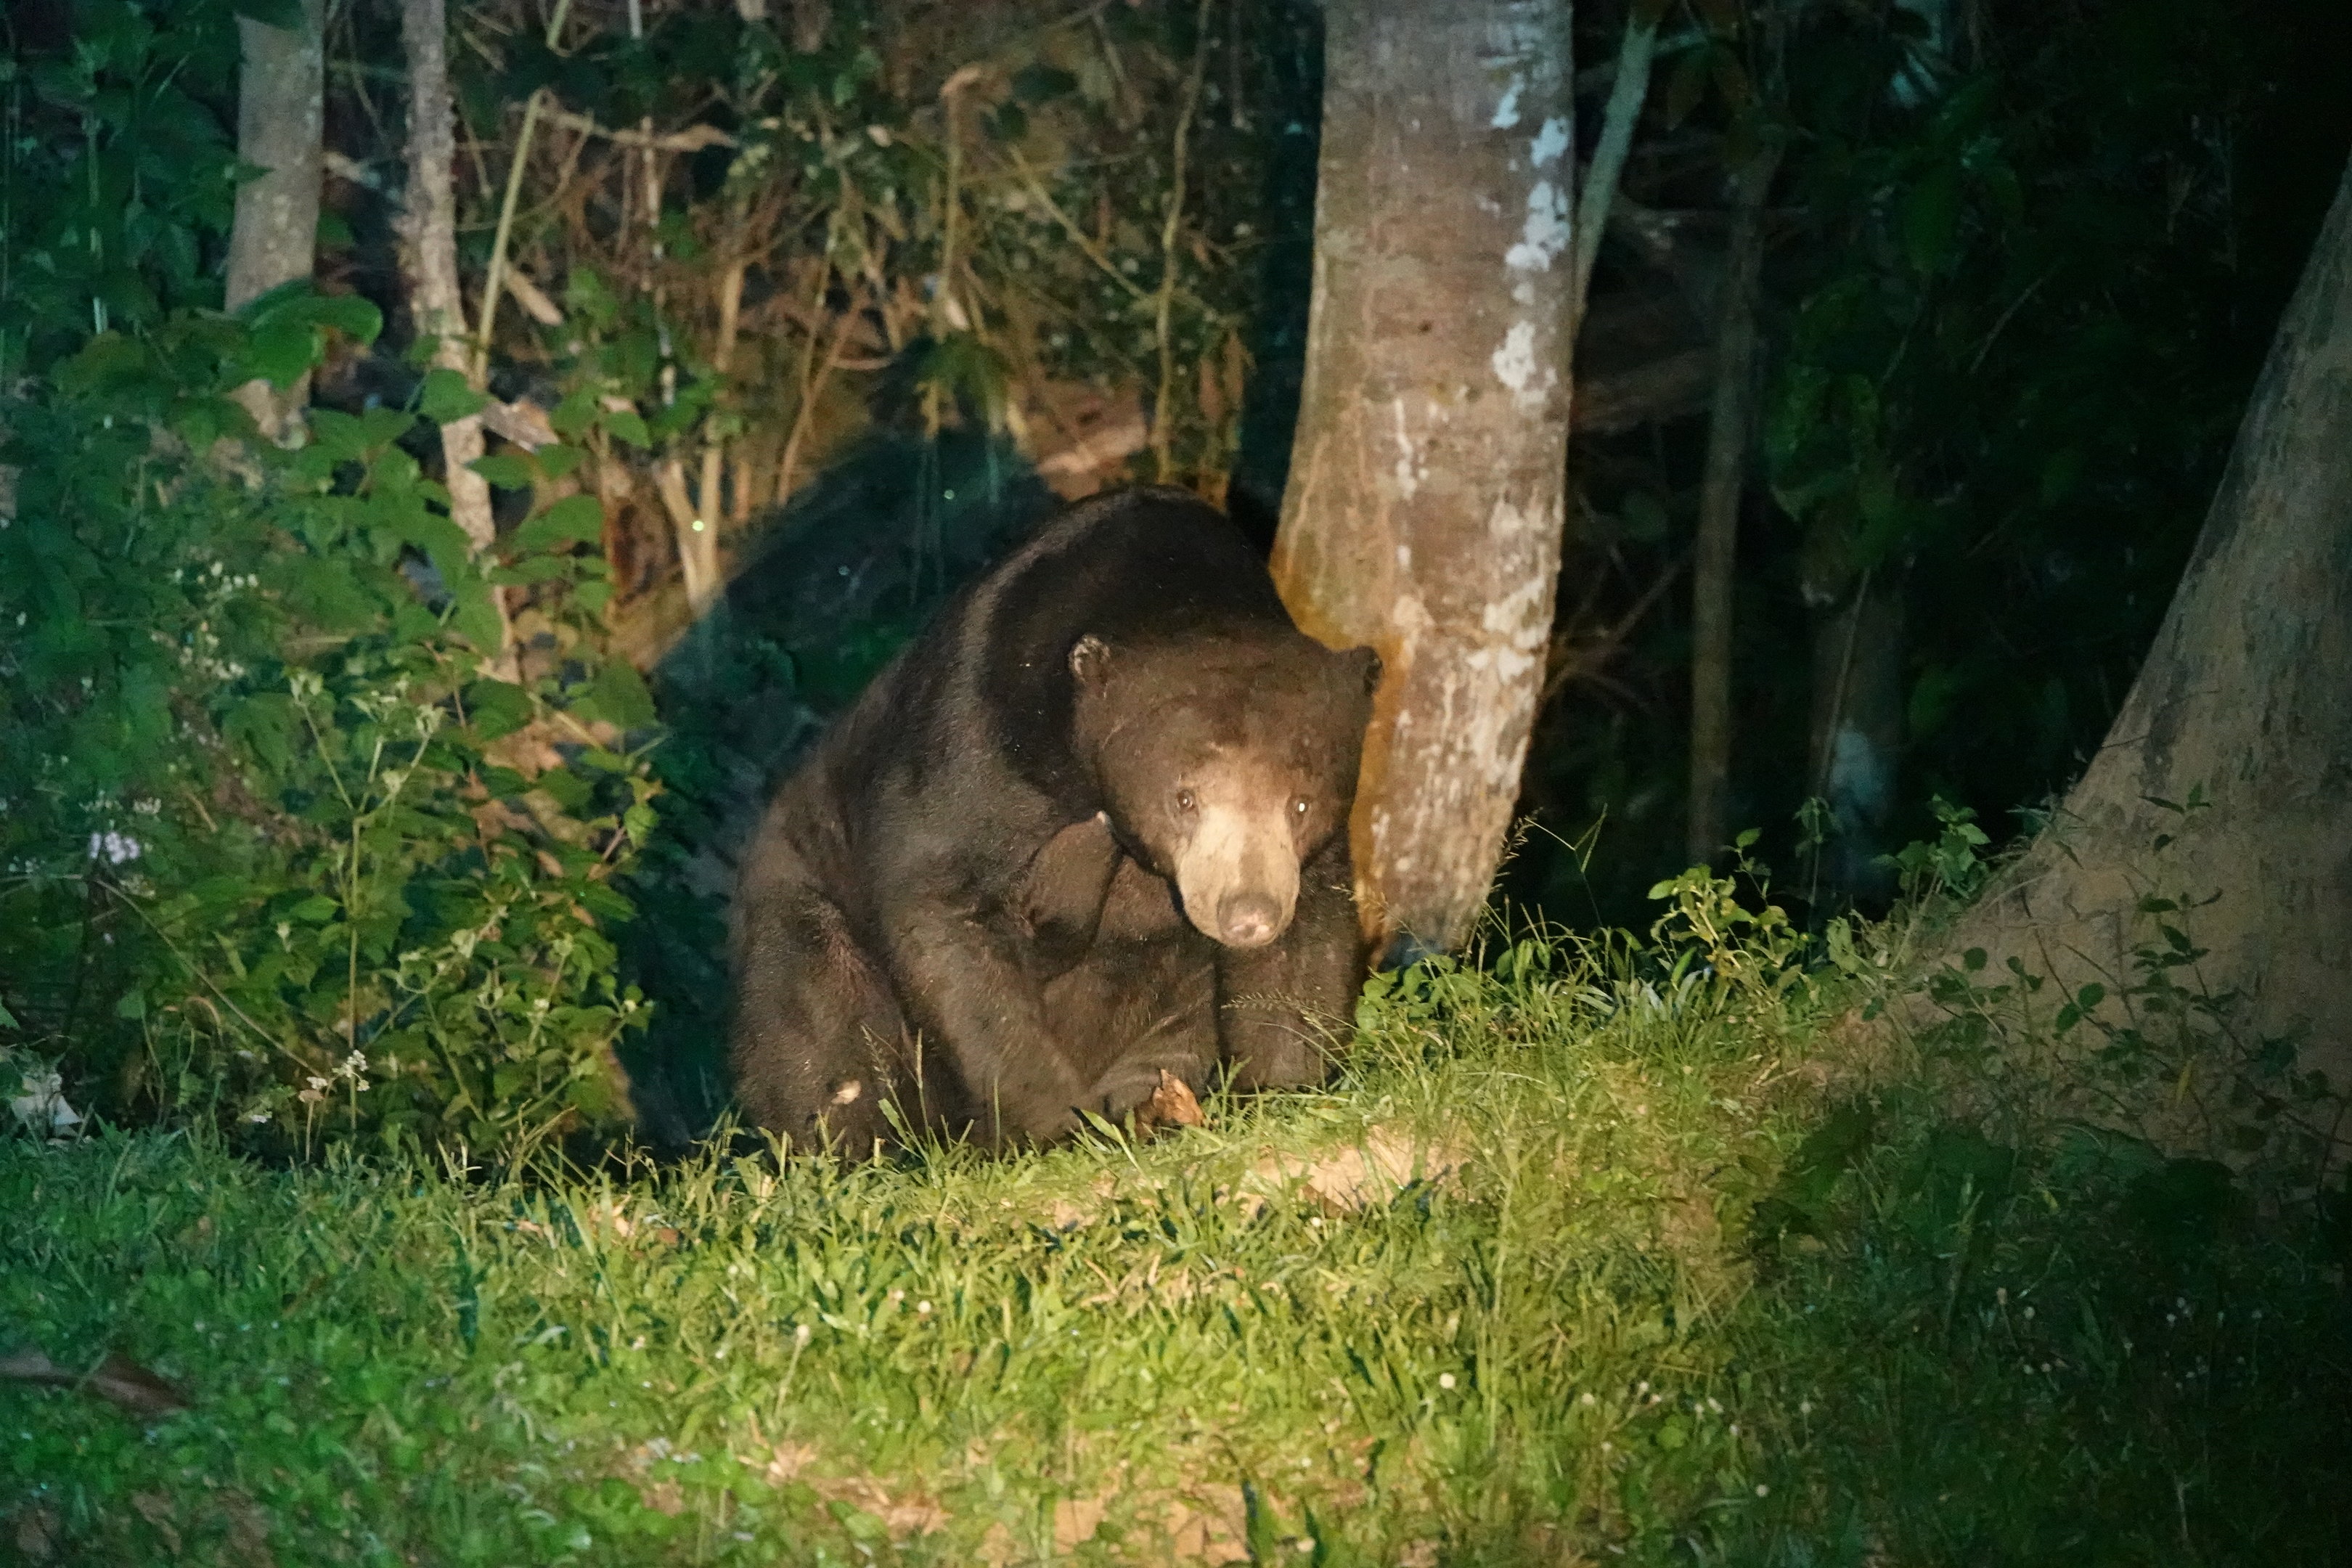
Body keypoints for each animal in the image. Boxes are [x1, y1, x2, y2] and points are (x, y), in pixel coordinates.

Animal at [728, 484, 1380, 1155]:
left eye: (1300, 804)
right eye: (1184, 799)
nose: (1247, 914)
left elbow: (1304, 951)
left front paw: (1286, 1090)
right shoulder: (978, 739)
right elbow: (943, 912)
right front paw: (1057, 1128)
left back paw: (1157, 1106)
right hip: (803, 898)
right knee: (817, 1023)